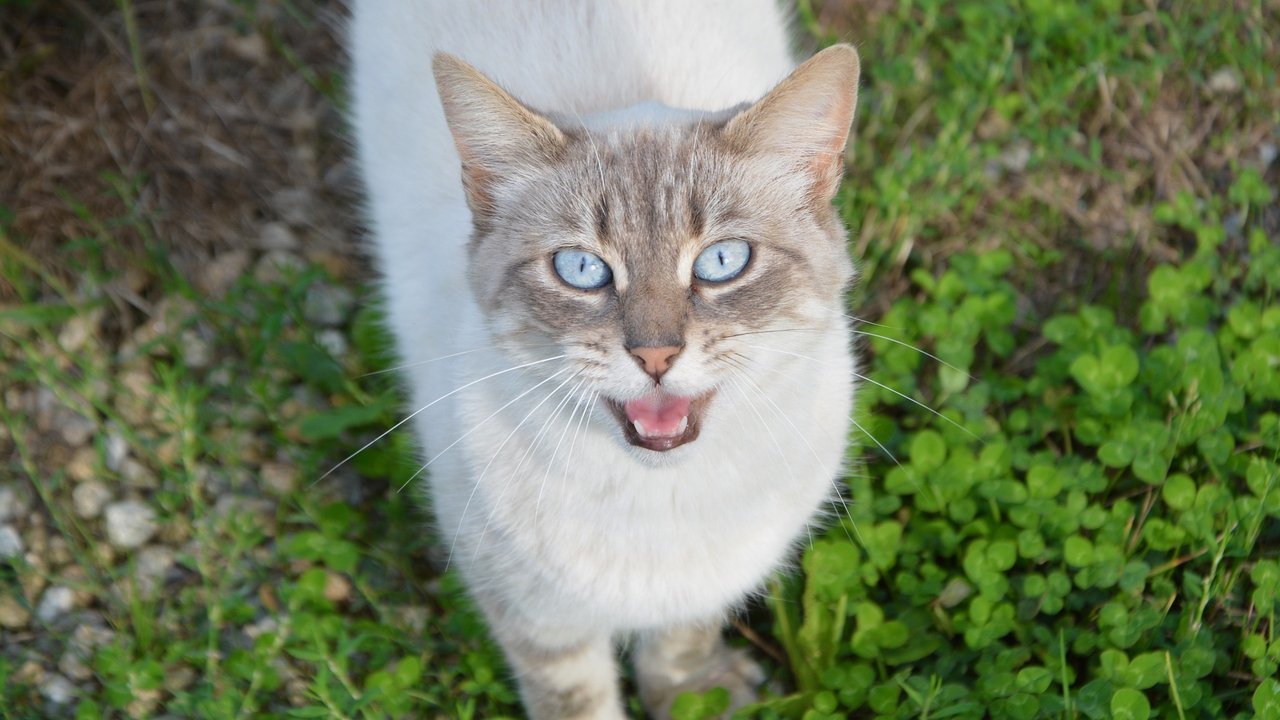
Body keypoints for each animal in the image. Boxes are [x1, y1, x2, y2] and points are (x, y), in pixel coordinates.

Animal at [350, 2, 860, 712]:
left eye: (722, 261)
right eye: (583, 270)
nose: (655, 355)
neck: (659, 497)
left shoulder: (706, 582)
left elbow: (680, 644)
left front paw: (689, 695)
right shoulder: (534, 614)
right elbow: (575, 698)